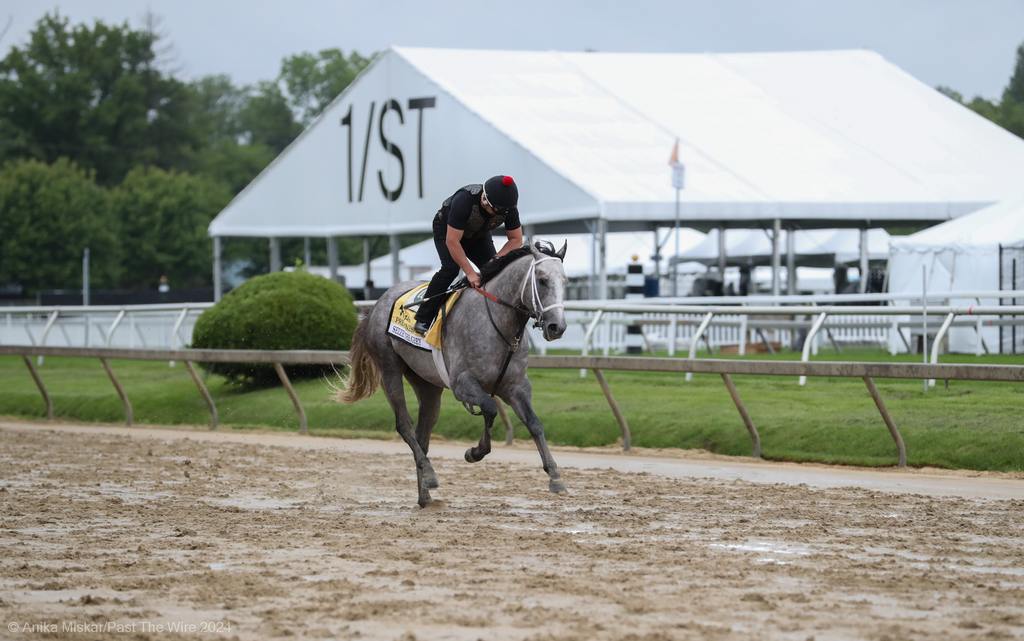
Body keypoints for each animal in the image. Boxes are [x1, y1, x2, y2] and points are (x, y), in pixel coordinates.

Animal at [339, 239, 573, 503]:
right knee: (404, 426)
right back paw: (430, 474)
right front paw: (475, 451)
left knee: (422, 434)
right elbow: (490, 409)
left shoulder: (516, 387)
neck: (498, 323)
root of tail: (376, 305)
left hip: (427, 384)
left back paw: (425, 495)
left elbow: (534, 423)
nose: (557, 327)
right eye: (542, 280)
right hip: (389, 368)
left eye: (565, 281)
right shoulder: (462, 384)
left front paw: (555, 477)